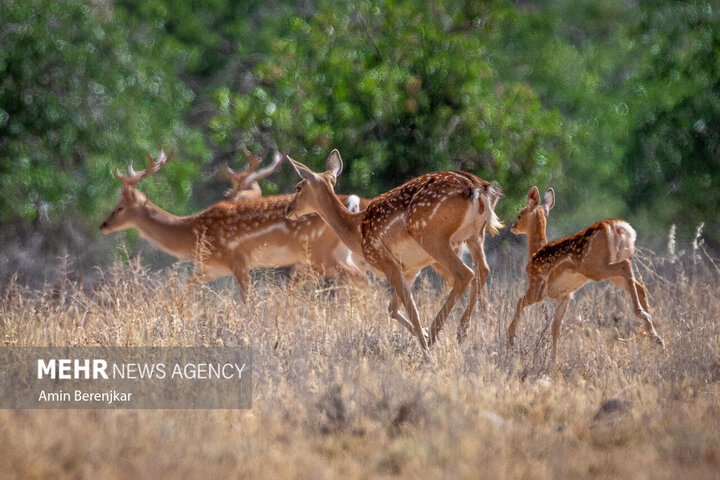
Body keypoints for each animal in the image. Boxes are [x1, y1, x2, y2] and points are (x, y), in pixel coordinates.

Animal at [100, 148, 366, 298]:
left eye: (119, 207)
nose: (103, 225)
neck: (193, 233)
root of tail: (353, 201)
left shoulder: (236, 258)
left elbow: (248, 300)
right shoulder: (211, 267)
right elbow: (183, 289)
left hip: (321, 254)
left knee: (359, 279)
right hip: (339, 255)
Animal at [284, 149, 504, 348]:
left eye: (298, 187)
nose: (288, 210)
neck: (356, 231)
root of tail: (479, 189)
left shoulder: (385, 260)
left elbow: (410, 309)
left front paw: (425, 345)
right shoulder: (410, 267)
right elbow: (392, 308)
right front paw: (422, 335)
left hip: (432, 236)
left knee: (465, 273)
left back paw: (437, 334)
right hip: (475, 235)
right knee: (483, 269)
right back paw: (461, 331)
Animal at [506, 186, 664, 362]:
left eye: (519, 215)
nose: (513, 226)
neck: (535, 252)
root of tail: (617, 227)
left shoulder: (537, 286)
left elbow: (519, 301)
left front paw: (511, 338)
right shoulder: (564, 295)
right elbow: (555, 329)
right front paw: (554, 362)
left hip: (595, 267)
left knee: (626, 266)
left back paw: (642, 316)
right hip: (611, 272)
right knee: (640, 286)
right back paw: (654, 335)